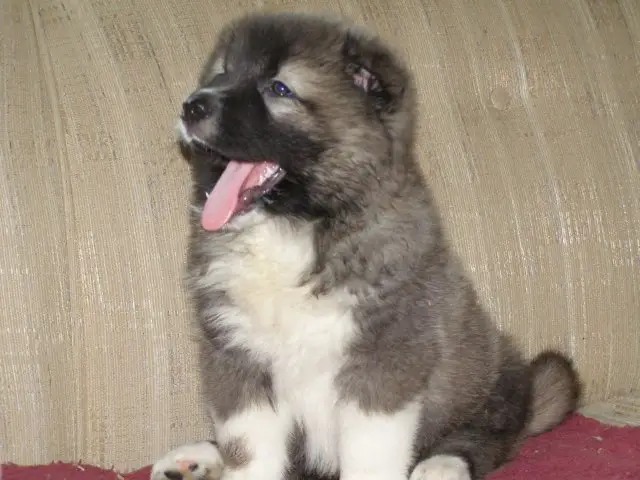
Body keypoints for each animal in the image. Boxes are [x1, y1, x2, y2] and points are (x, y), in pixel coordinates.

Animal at [150, 10, 580, 480]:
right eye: (223, 73)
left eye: (279, 88)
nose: (192, 105)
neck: (296, 229)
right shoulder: (236, 357)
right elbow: (248, 449)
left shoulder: (384, 360)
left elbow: (371, 450)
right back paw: (193, 458)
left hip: (492, 382)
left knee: (482, 436)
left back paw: (441, 466)